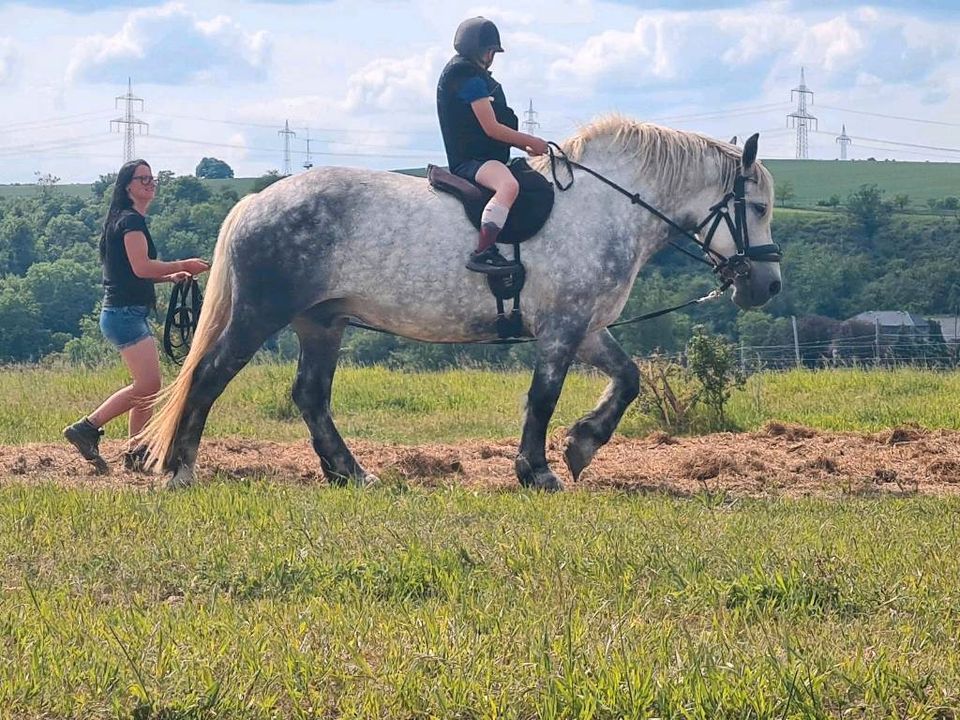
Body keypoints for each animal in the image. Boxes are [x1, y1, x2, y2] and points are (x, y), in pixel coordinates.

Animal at [144, 116, 788, 490]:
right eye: (756, 207)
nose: (768, 286)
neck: (605, 208)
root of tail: (254, 203)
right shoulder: (561, 329)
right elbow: (543, 397)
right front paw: (538, 470)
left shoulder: (586, 326)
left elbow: (627, 379)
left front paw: (581, 446)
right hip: (263, 314)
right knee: (210, 375)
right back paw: (180, 470)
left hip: (321, 322)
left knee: (310, 396)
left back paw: (350, 473)